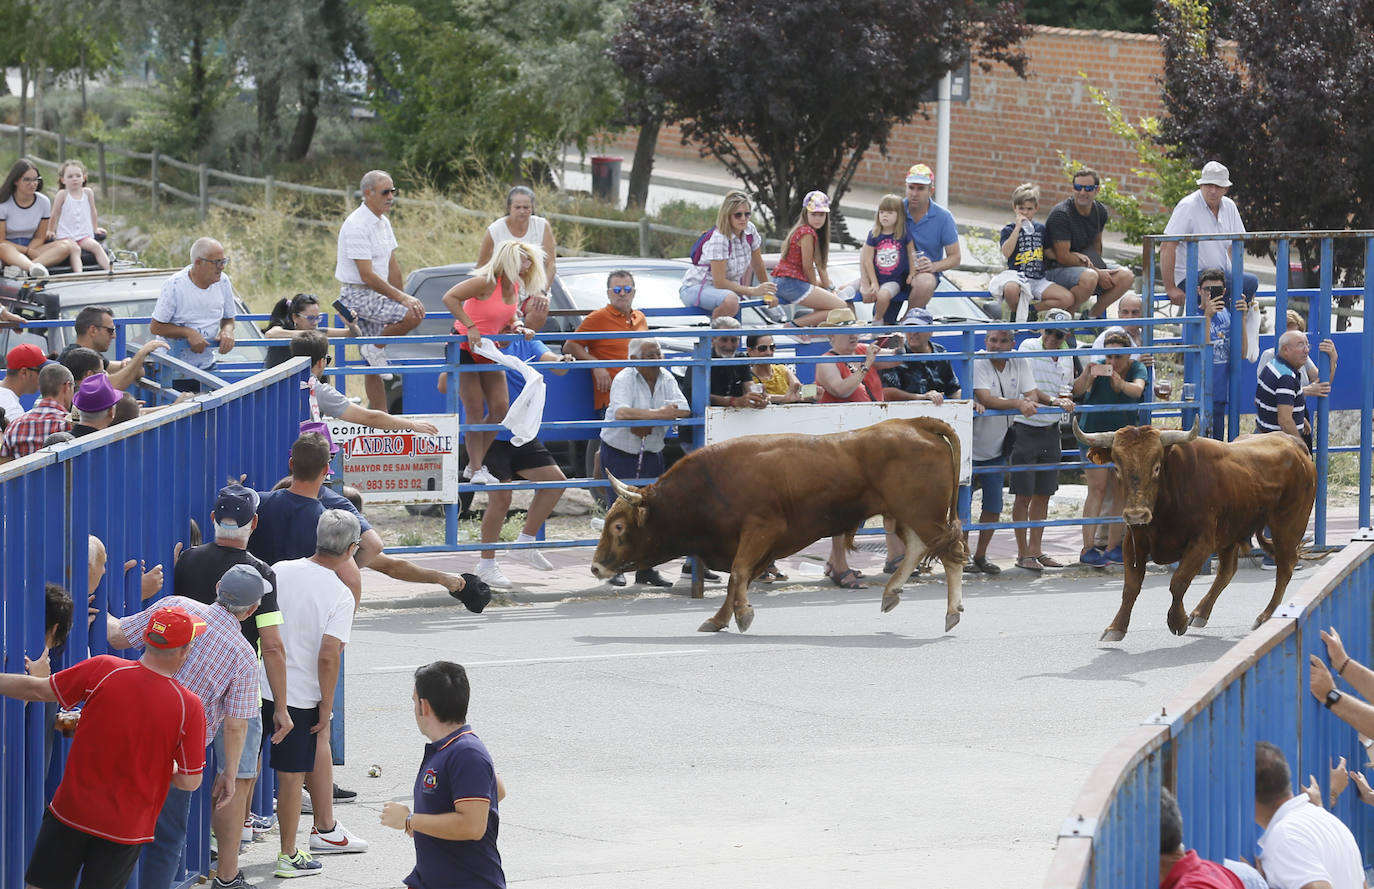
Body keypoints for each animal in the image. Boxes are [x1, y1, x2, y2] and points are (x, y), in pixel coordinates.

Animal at [588, 417, 967, 632]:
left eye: (619, 526)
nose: (595, 567)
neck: (710, 483)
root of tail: (916, 422)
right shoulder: (757, 544)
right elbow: (738, 579)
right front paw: (719, 619)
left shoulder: (761, 530)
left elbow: (738, 573)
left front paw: (740, 615)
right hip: (906, 515)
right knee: (917, 548)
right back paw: (891, 593)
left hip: (923, 515)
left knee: (951, 555)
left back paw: (951, 611)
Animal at [1077, 420, 1313, 643]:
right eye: (1117, 468)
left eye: (1156, 467)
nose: (1136, 514)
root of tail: (1294, 443)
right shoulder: (1134, 543)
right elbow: (1130, 587)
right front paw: (1116, 627)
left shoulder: (1202, 542)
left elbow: (1178, 582)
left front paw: (1177, 621)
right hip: (1231, 532)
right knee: (1227, 571)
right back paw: (1201, 613)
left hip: (1287, 528)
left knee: (1284, 569)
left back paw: (1266, 616)